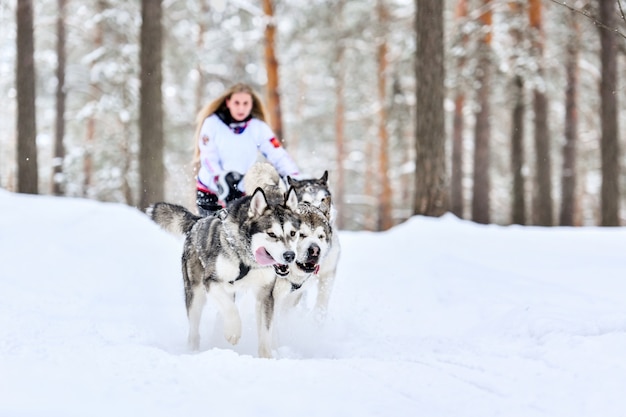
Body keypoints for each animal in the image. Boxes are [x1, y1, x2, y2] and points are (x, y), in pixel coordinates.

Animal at [149, 185, 300, 358]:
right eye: (272, 234)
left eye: (293, 233)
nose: (290, 255)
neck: (248, 260)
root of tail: (197, 222)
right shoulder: (211, 281)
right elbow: (230, 309)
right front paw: (233, 332)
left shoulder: (265, 295)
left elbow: (265, 333)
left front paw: (266, 357)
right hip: (196, 293)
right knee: (194, 329)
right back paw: (193, 350)